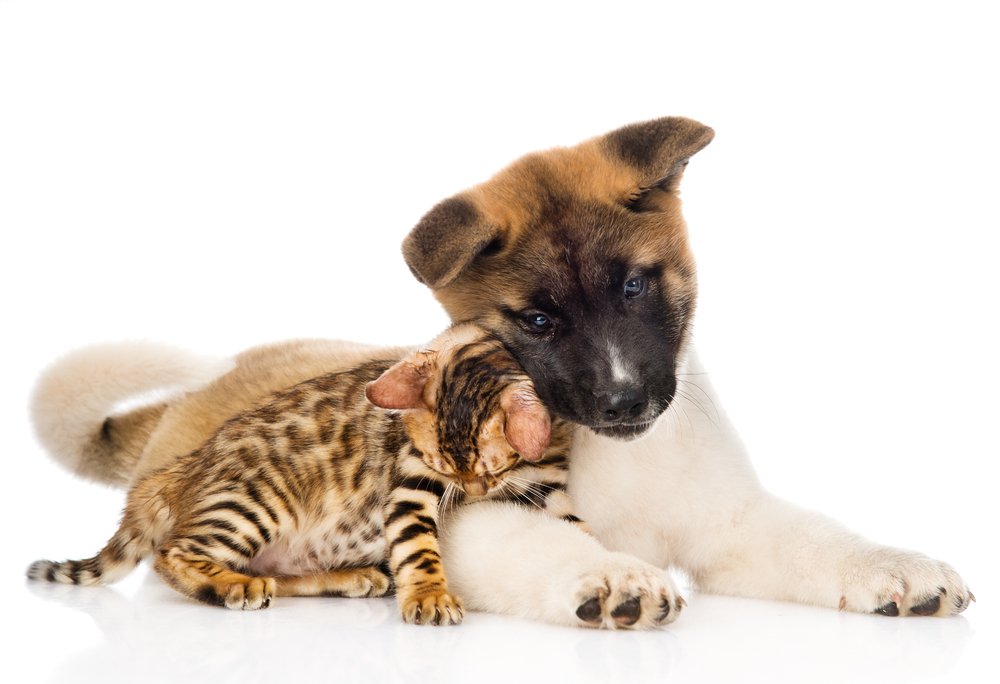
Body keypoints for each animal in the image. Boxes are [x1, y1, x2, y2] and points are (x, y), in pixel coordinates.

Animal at [29, 324, 580, 624]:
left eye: (493, 465)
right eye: (441, 464)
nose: (472, 491)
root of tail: (178, 469)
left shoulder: (551, 488)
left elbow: (574, 527)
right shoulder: (410, 484)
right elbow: (419, 548)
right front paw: (430, 596)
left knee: (271, 572)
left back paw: (349, 578)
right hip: (253, 504)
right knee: (173, 553)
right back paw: (233, 587)